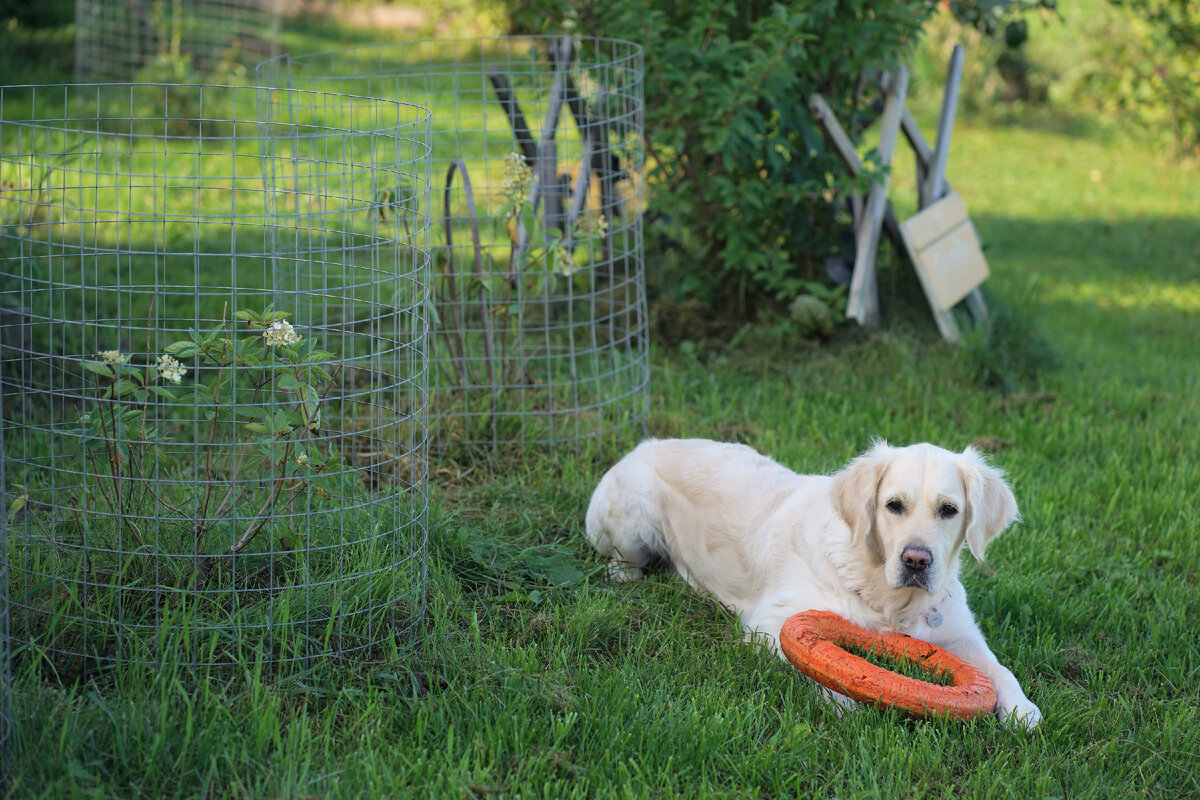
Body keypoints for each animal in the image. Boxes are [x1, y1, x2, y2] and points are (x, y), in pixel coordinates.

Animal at [588, 441, 1041, 729]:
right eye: (894, 505)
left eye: (948, 509)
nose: (916, 560)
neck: (890, 599)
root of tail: (640, 445)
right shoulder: (773, 625)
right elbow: (818, 670)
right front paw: (845, 702)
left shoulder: (958, 632)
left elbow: (998, 669)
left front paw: (1022, 709)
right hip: (634, 520)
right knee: (619, 560)